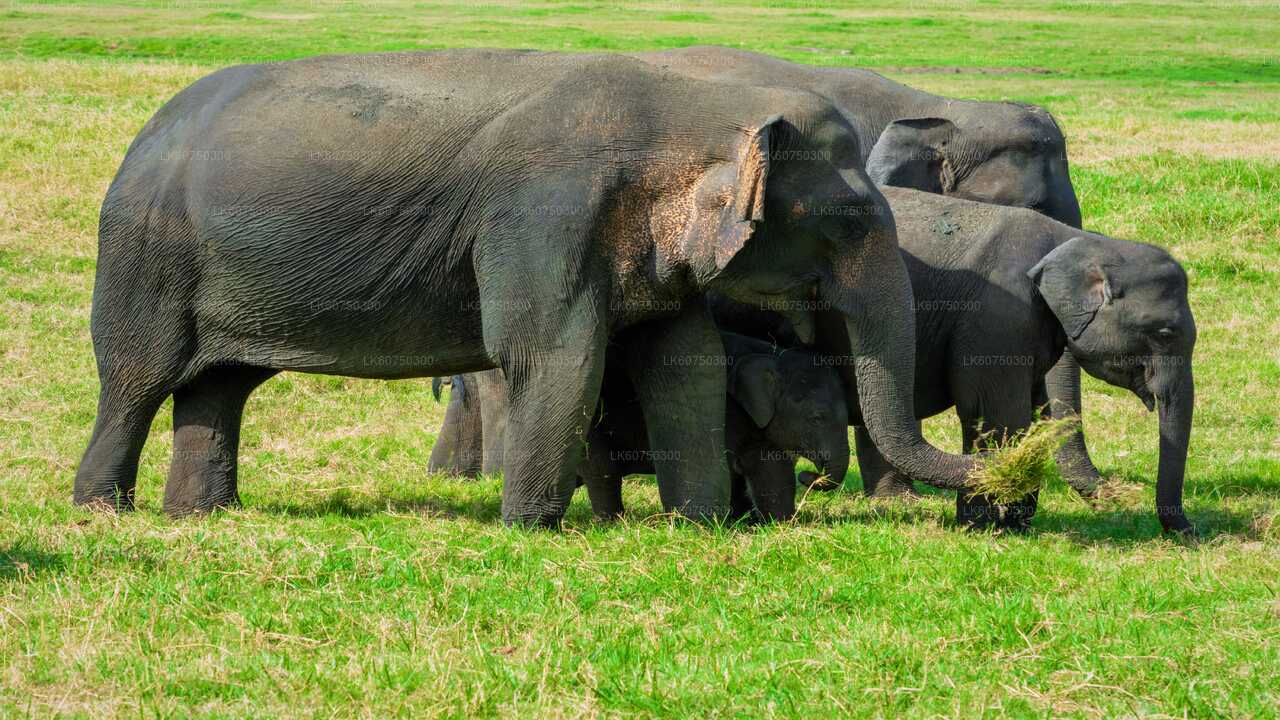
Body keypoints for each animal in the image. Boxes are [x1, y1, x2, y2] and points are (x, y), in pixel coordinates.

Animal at [77, 49, 977, 520]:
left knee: (220, 386)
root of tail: (144, 133)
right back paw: (103, 512)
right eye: (852, 220)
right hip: (144, 256)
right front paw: (537, 531)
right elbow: (551, 356)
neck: (688, 103)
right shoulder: (544, 216)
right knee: (137, 380)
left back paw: (202, 516)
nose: (1001, 473)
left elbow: (685, 362)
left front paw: (701, 526)